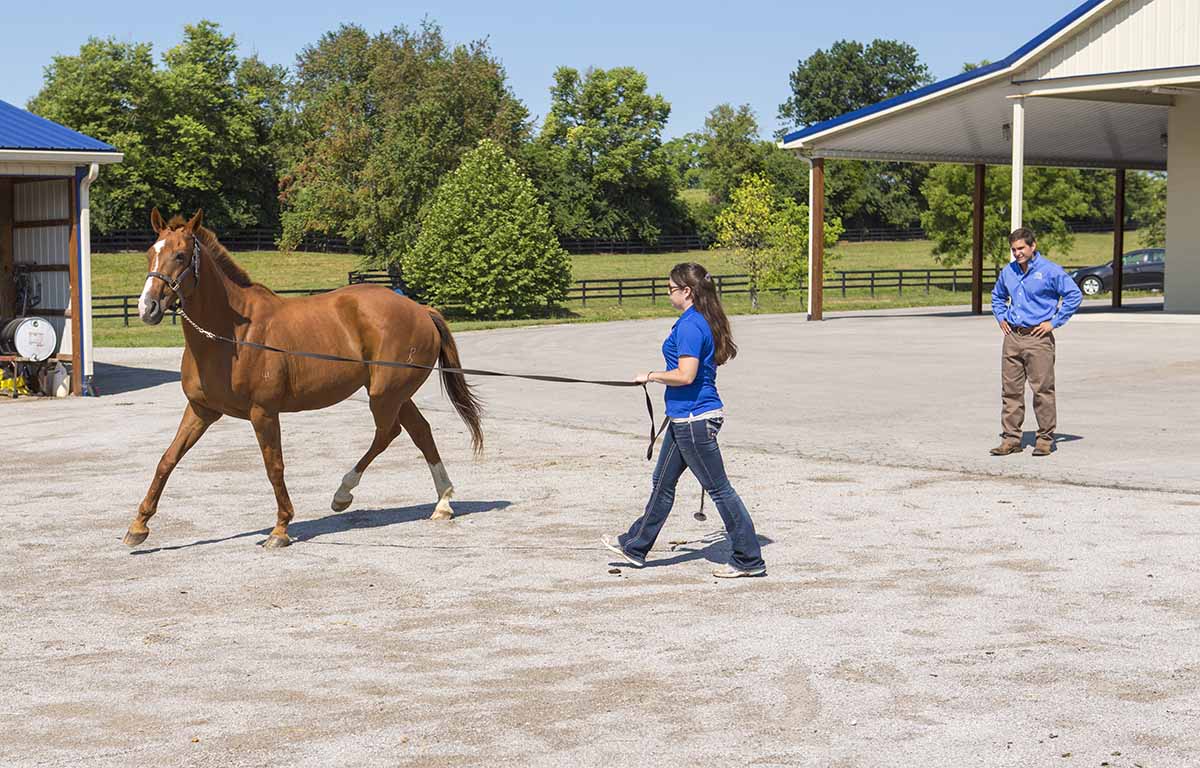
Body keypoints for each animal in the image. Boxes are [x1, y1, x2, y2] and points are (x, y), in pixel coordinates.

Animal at [125, 208, 484, 549]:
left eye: (180, 255)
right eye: (150, 253)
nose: (147, 307)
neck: (232, 336)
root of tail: (421, 310)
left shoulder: (263, 412)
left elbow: (274, 467)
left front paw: (281, 528)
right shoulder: (201, 410)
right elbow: (167, 460)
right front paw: (138, 527)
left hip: (385, 395)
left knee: (388, 433)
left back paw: (343, 494)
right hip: (395, 394)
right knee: (420, 431)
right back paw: (442, 502)